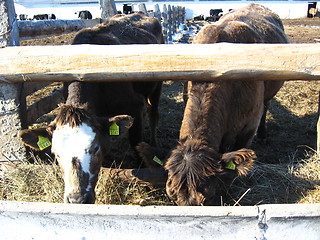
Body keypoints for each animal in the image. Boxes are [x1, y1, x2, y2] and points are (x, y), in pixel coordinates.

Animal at [19, 12, 165, 204]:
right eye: (56, 153)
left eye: (94, 148)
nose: (77, 199)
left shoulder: (135, 106)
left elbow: (136, 144)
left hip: (156, 86)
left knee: (153, 113)